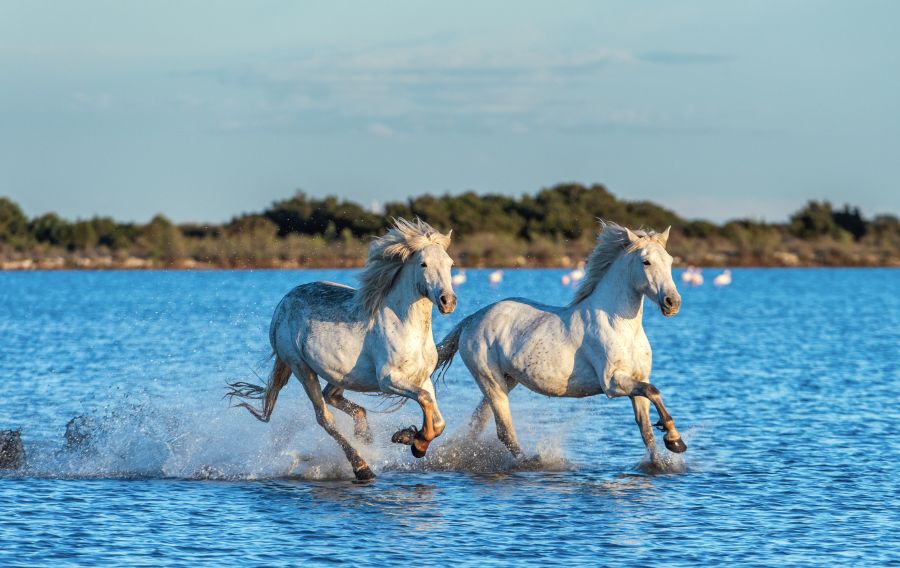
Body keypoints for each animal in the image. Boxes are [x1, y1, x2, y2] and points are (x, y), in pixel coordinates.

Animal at [229, 217, 458, 480]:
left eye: (450, 264)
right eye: (423, 264)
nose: (448, 301)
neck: (404, 325)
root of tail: (282, 305)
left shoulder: (422, 378)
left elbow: (436, 417)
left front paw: (408, 437)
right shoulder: (389, 380)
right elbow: (425, 401)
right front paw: (415, 442)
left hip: (339, 373)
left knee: (332, 396)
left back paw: (364, 434)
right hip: (301, 367)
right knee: (325, 417)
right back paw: (361, 467)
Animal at [436, 221, 688, 462]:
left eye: (670, 260)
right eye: (646, 262)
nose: (672, 303)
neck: (619, 325)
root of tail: (472, 319)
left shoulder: (638, 379)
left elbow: (646, 429)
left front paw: (666, 452)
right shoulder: (612, 383)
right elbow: (654, 392)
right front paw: (675, 440)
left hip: (506, 380)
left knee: (478, 424)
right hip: (490, 381)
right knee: (504, 431)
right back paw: (529, 461)